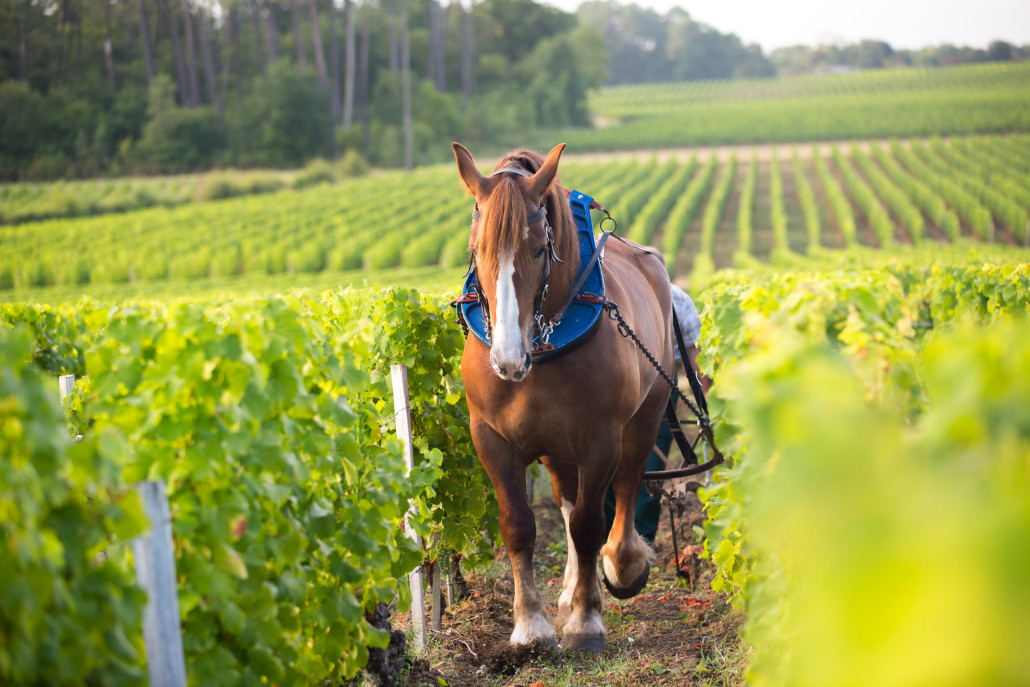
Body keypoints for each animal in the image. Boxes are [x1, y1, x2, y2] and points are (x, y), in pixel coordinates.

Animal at [451, 142, 675, 655]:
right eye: (477, 249)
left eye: (538, 248)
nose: (507, 358)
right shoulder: (489, 437)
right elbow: (519, 525)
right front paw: (530, 626)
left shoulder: (600, 439)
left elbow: (591, 524)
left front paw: (587, 621)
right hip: (555, 446)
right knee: (568, 501)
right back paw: (571, 589)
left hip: (646, 415)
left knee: (627, 484)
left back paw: (621, 566)